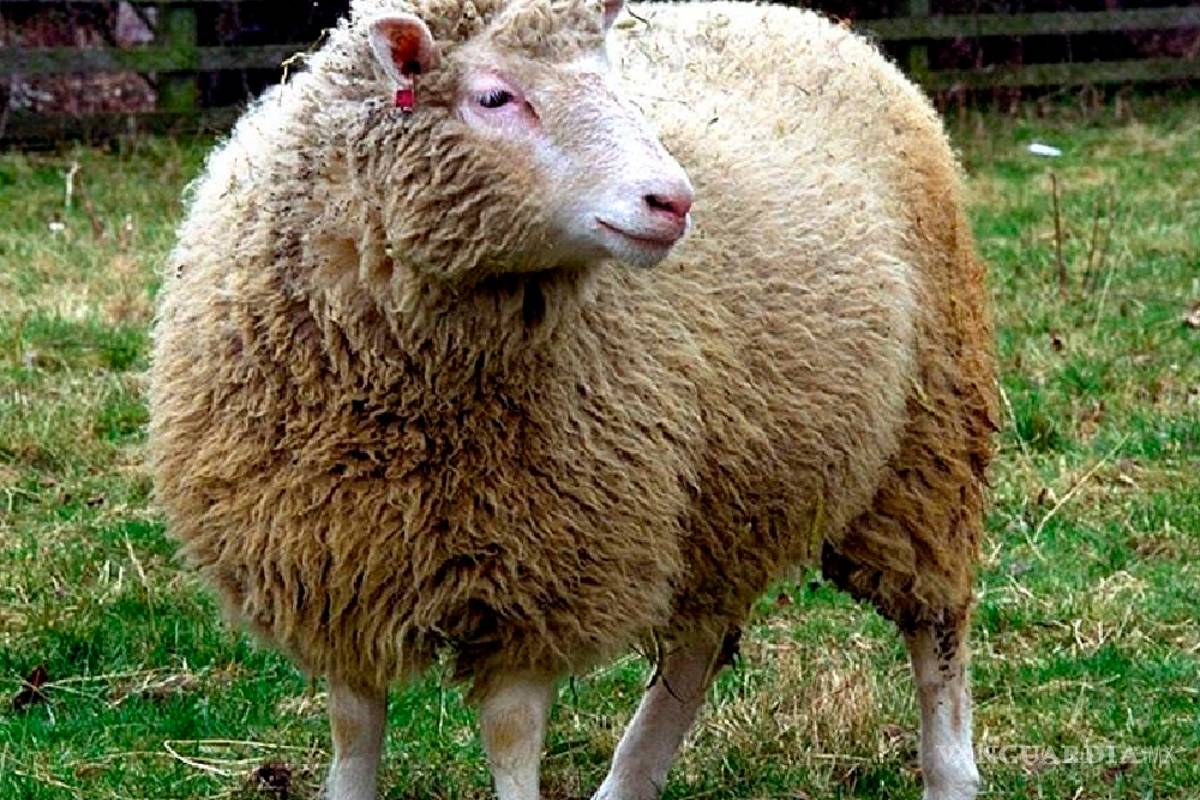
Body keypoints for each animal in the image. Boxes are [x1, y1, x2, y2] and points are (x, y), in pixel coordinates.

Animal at [148, 0, 997, 799]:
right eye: (494, 96)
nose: (674, 200)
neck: (405, 409)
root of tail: (807, 20)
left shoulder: (544, 566)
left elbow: (510, 733)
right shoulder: (335, 563)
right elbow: (354, 728)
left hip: (928, 434)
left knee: (936, 627)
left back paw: (951, 773)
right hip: (729, 484)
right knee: (700, 640)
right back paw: (630, 778)